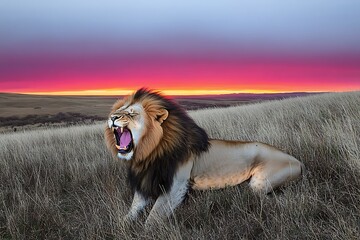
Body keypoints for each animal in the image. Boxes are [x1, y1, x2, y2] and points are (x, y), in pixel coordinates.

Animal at [104, 88, 304, 227]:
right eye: (119, 109)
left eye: (131, 113)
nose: (112, 117)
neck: (149, 154)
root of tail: (299, 162)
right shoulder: (146, 182)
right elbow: (131, 212)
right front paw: (119, 225)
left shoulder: (175, 186)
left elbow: (152, 218)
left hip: (259, 183)